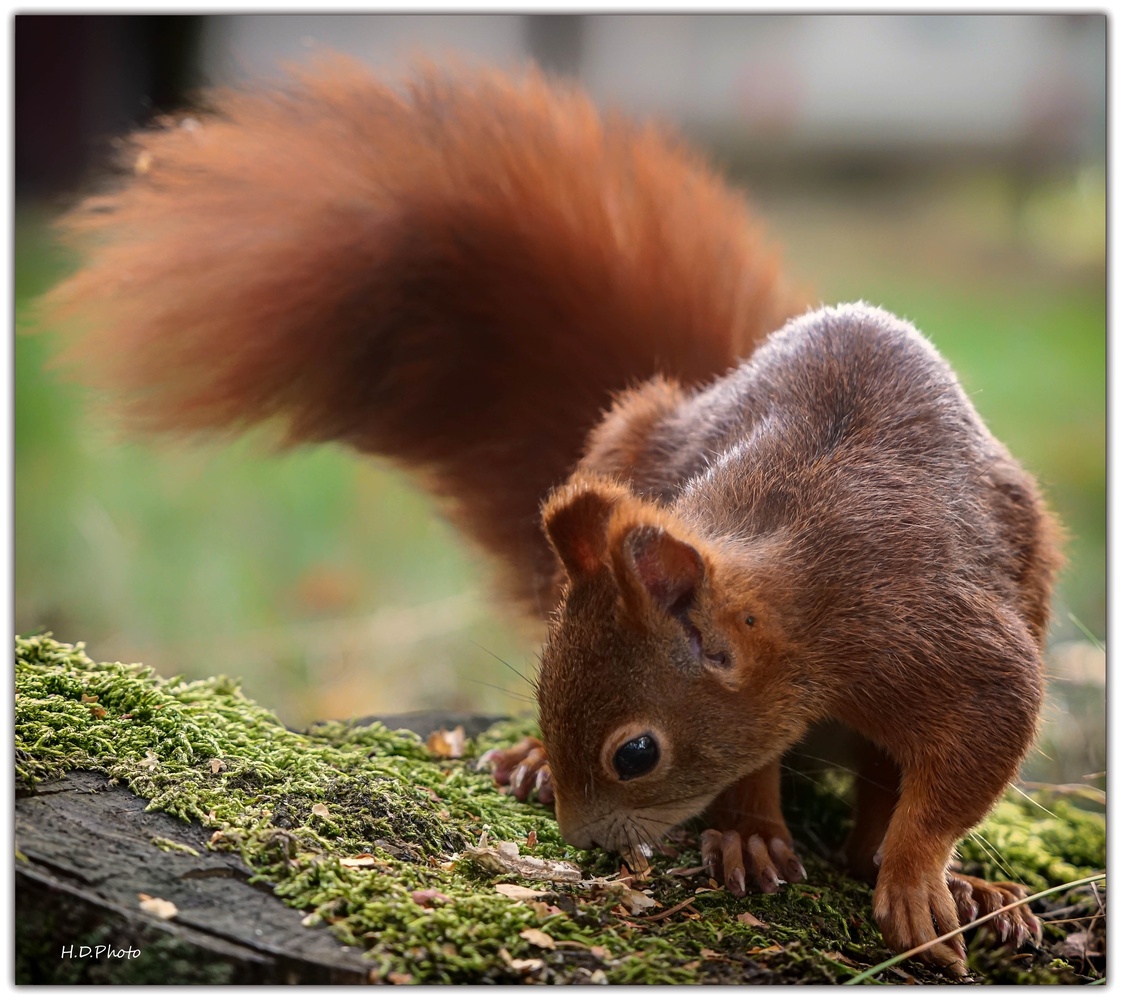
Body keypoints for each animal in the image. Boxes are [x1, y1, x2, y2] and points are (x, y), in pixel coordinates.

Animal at [39, 58, 1062, 973]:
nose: (584, 843)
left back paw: (974, 889)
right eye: (537, 683)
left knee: (872, 813)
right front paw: (747, 830)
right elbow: (758, 762)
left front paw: (917, 876)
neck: (808, 590)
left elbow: (970, 762)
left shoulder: (944, 639)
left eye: (636, 754)